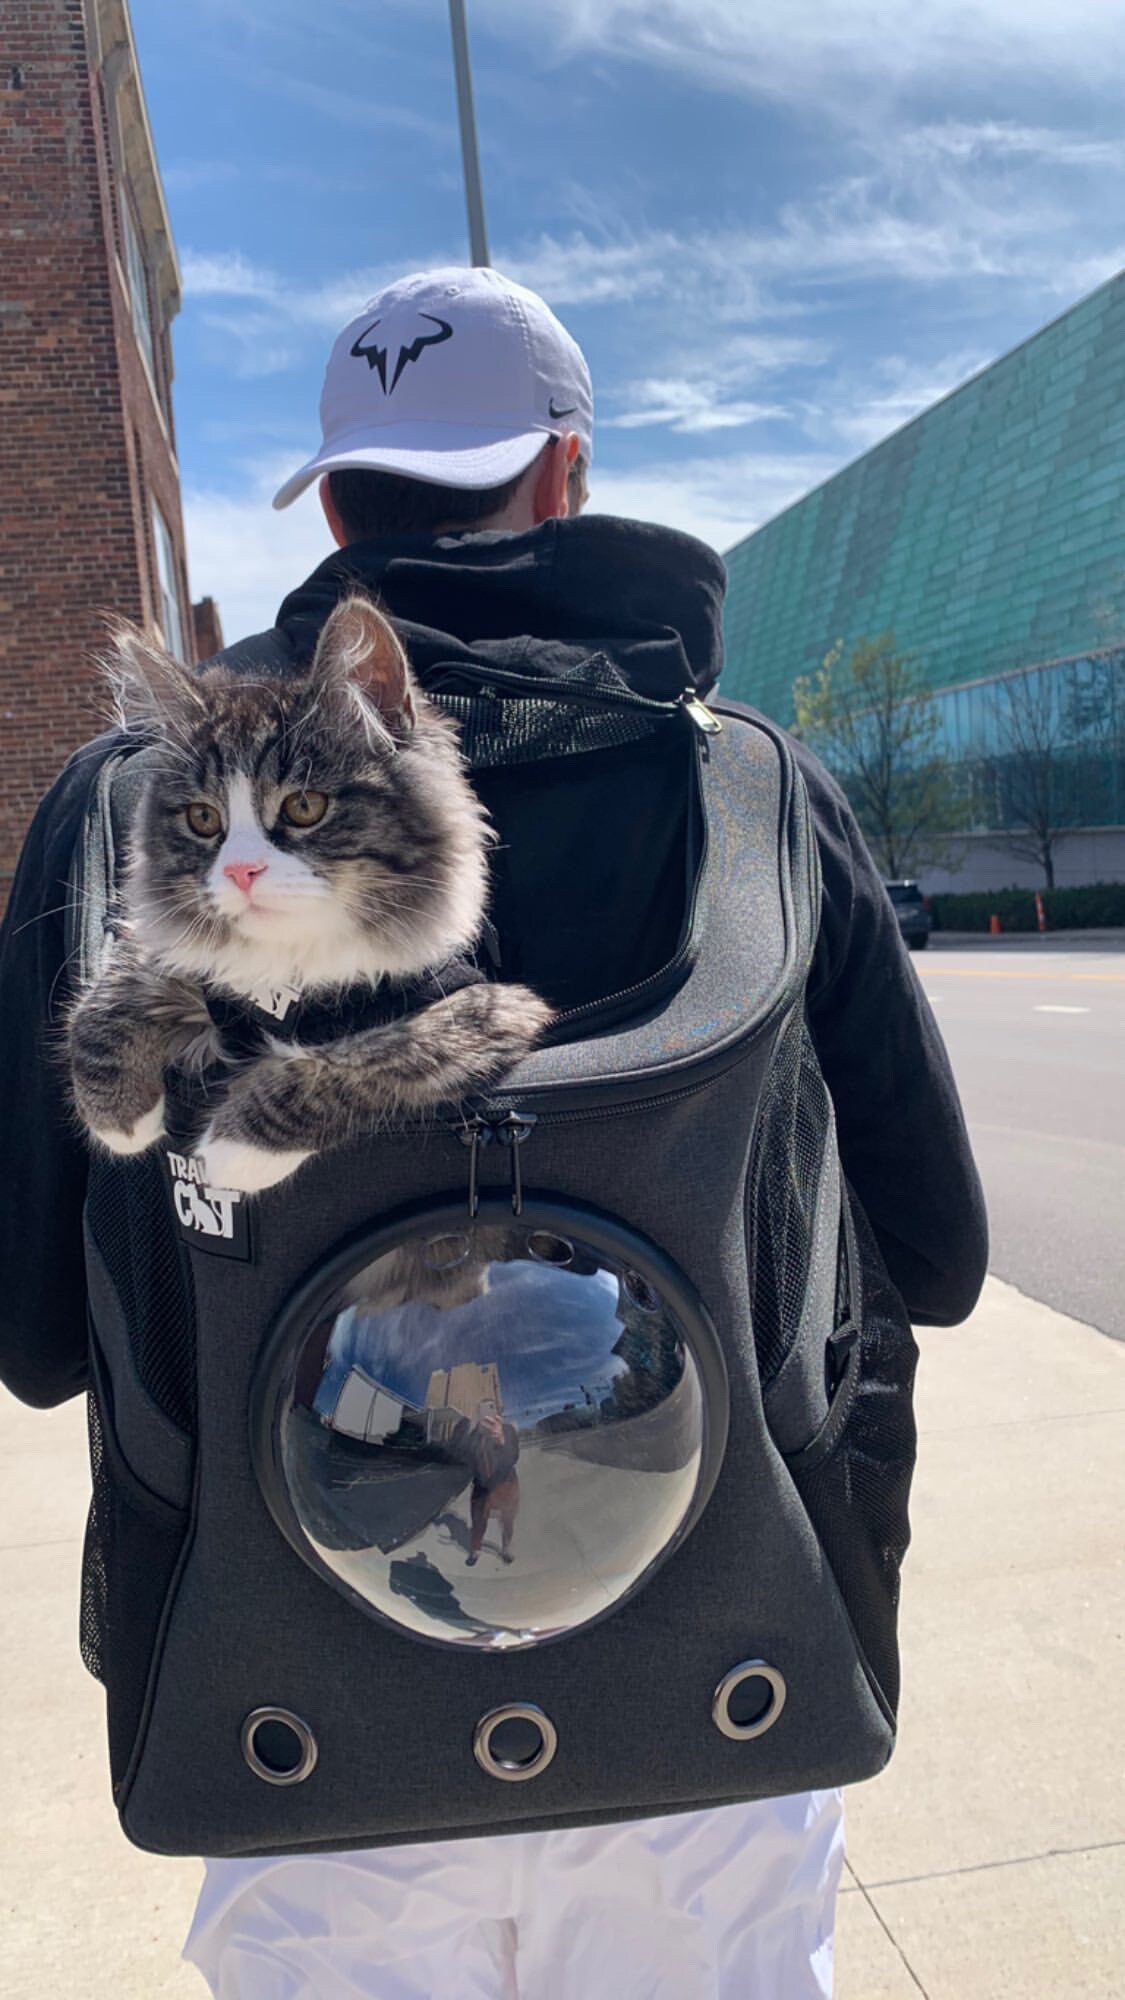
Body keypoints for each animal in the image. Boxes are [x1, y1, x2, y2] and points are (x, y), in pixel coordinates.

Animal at [68, 588, 548, 1184]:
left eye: (303, 807)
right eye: (203, 818)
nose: (240, 871)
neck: (288, 978)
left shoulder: (494, 1008)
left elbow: (359, 1058)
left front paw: (229, 1149)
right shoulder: (179, 962)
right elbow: (106, 1001)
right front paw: (121, 1119)